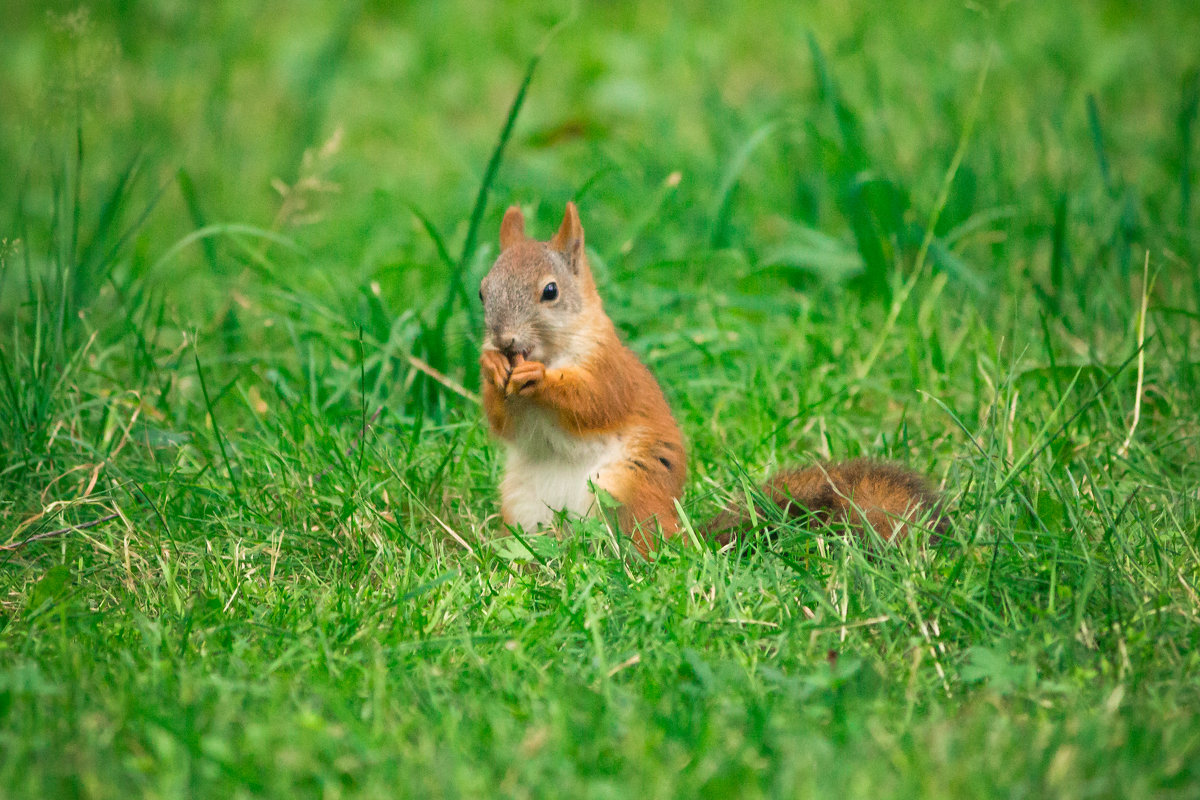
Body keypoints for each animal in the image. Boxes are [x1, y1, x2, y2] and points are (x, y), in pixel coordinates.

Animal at [477, 200, 945, 556]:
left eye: (550, 291)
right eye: (483, 291)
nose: (504, 340)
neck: (555, 351)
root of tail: (682, 534)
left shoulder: (611, 370)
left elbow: (594, 403)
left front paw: (540, 378)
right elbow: (505, 424)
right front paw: (491, 367)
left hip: (626, 487)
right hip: (524, 503)